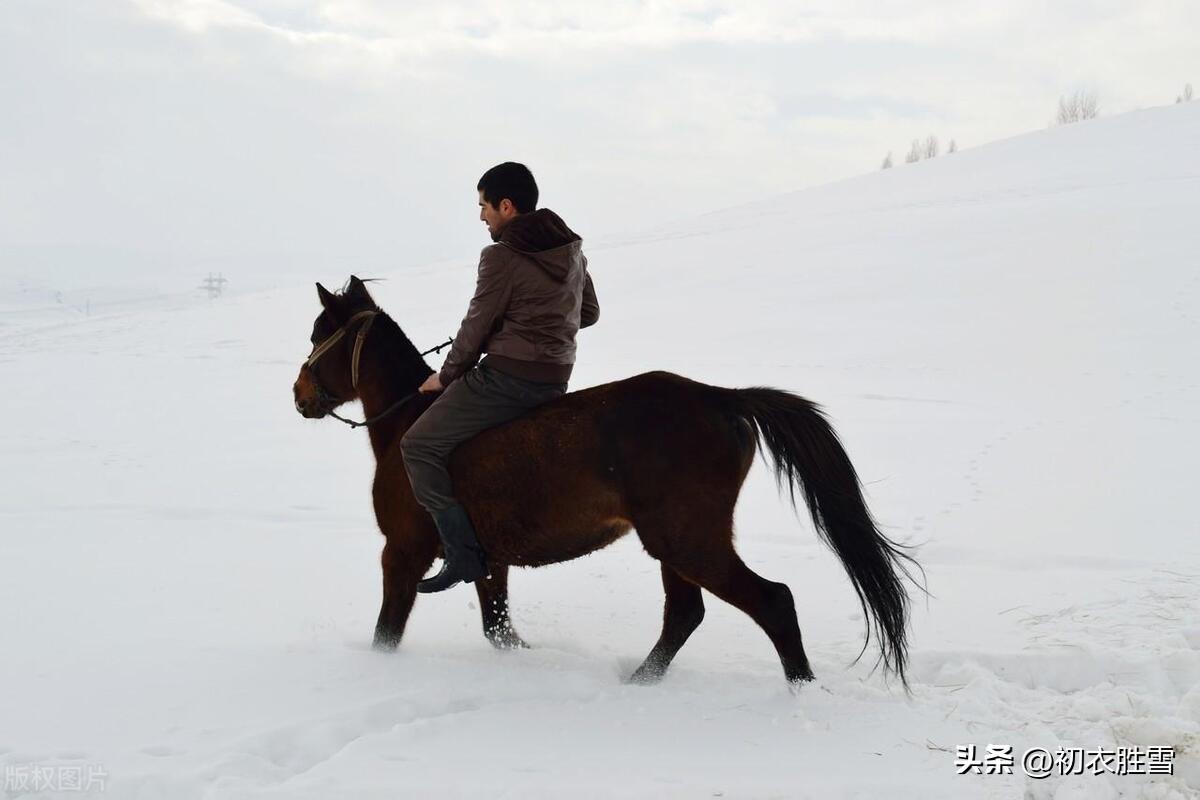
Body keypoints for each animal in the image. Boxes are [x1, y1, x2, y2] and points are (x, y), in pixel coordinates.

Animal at [295, 277, 921, 690]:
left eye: (318, 333)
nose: (300, 395)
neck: (406, 421)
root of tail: (721, 397)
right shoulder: (487, 559)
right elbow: (500, 630)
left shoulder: (402, 551)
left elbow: (388, 631)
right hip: (677, 545)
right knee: (684, 615)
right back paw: (639, 683)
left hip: (687, 540)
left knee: (772, 601)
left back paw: (799, 691)